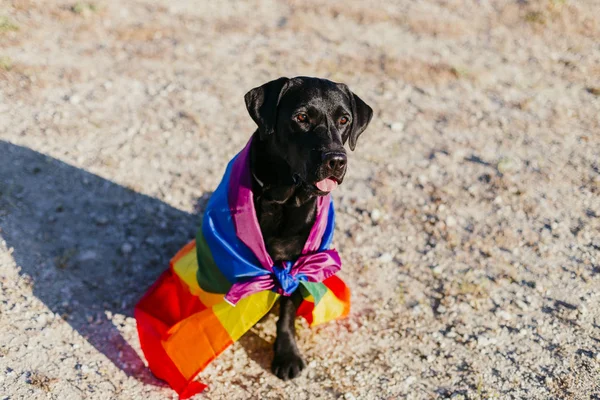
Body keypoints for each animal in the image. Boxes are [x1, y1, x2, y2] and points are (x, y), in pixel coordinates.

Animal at [243, 76, 370, 380]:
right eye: (301, 118)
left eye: (344, 119)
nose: (336, 160)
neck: (282, 198)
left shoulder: (298, 266)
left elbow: (287, 314)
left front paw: (287, 353)